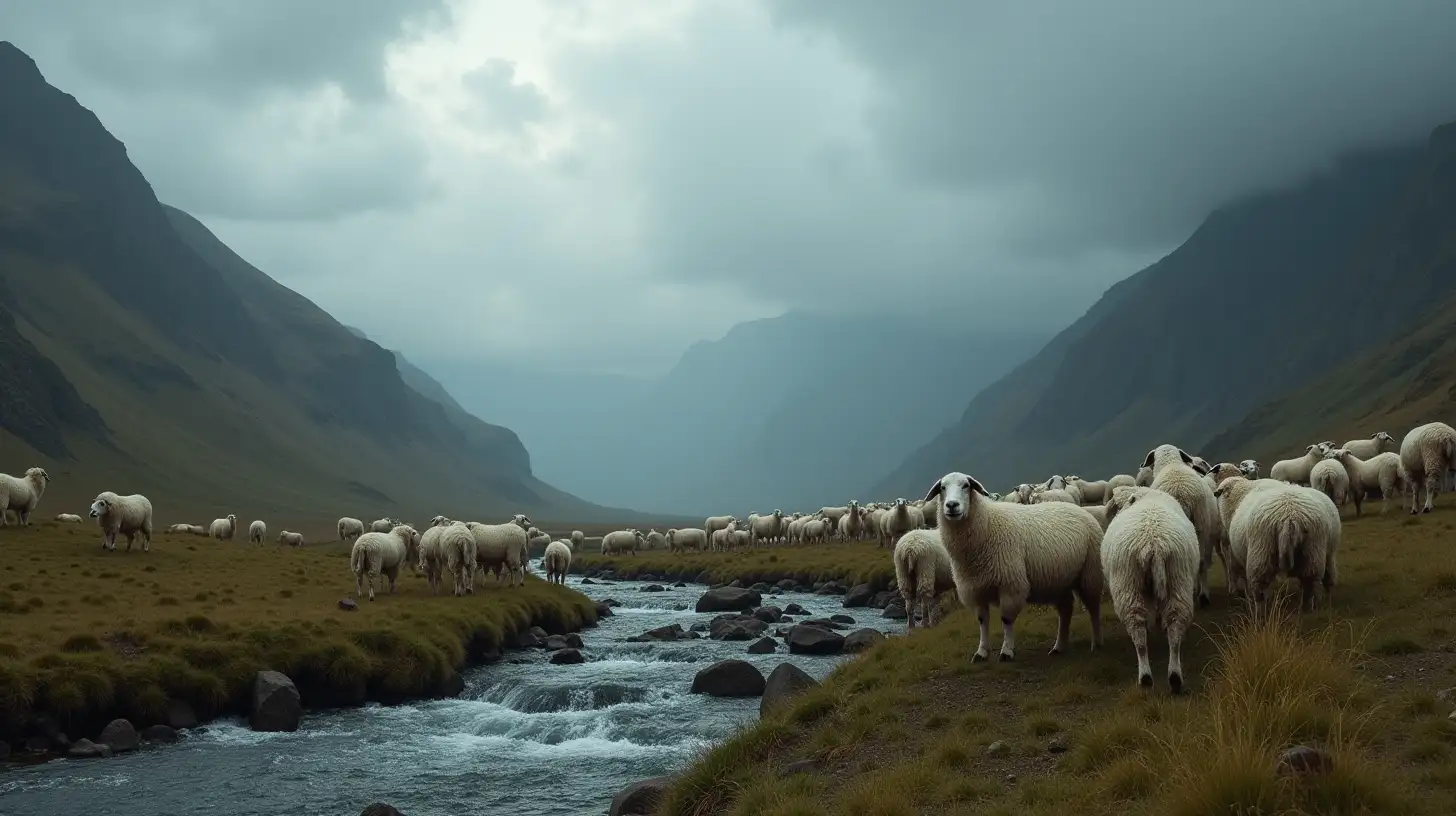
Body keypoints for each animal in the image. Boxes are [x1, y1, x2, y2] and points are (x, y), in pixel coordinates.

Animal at [920, 472, 1100, 664]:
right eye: (942, 487)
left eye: (966, 485)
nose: (952, 505)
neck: (987, 524)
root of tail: (1078, 508)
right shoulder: (975, 588)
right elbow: (982, 621)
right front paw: (981, 652)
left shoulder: (1010, 583)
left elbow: (1006, 620)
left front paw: (1006, 651)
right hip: (1059, 581)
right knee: (1066, 610)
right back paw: (1059, 647)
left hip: (1090, 573)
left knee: (1093, 608)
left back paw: (1097, 643)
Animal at [1094, 486, 1199, 690]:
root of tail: (1154, 543)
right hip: (1179, 579)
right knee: (1175, 627)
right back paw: (1175, 677)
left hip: (1128, 583)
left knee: (1138, 631)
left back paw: (1145, 677)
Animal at [1223, 480, 1333, 609]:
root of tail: (1289, 519)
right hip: (1312, 553)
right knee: (1309, 584)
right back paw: (1307, 608)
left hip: (1261, 554)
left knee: (1259, 589)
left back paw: (1261, 610)